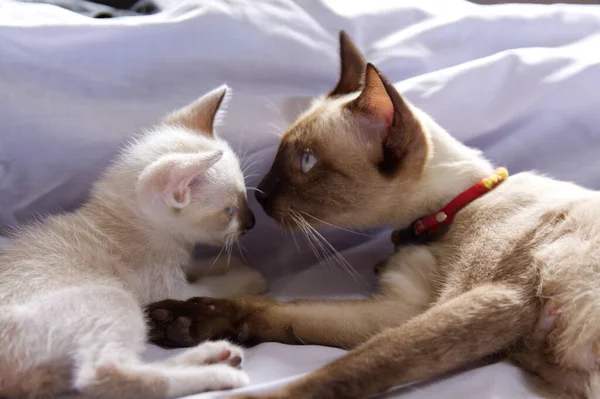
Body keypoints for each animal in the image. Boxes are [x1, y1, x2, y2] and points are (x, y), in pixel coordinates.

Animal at [0, 86, 268, 399]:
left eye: (244, 197)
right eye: (229, 211)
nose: (252, 222)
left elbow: (198, 266)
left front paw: (227, 262)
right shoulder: (170, 290)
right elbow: (215, 289)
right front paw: (248, 276)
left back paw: (212, 356)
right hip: (115, 298)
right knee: (106, 375)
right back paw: (217, 371)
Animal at [148, 34, 596, 399]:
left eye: (306, 161)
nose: (259, 194)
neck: (439, 219)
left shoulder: (498, 300)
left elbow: (351, 368)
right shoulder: (398, 310)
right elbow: (286, 312)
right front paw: (180, 322)